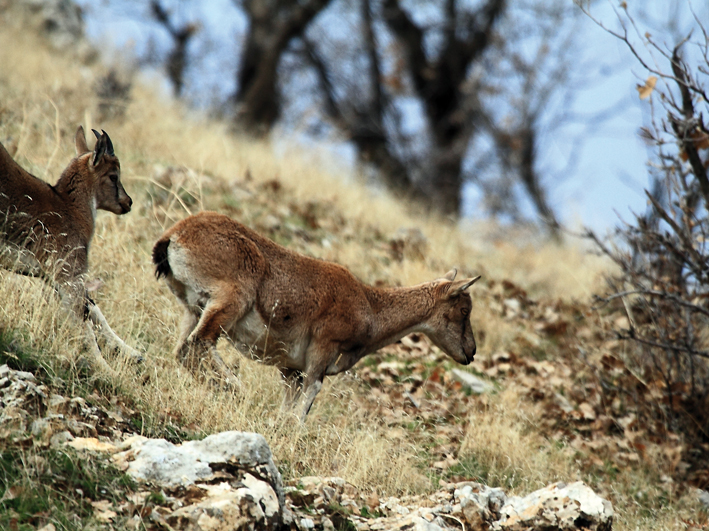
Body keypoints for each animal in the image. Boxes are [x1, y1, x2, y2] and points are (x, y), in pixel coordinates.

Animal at [0, 125, 141, 374]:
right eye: (113, 176)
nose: (128, 202)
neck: (70, 210)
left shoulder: (53, 277)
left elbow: (92, 309)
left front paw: (133, 354)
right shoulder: (68, 275)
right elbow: (85, 328)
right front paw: (108, 371)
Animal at [151, 211, 478, 420]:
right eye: (464, 310)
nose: (470, 352)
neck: (369, 306)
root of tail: (174, 237)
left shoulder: (290, 368)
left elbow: (289, 402)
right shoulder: (323, 348)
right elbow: (310, 395)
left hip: (193, 308)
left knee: (183, 350)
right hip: (230, 301)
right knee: (200, 342)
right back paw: (236, 387)